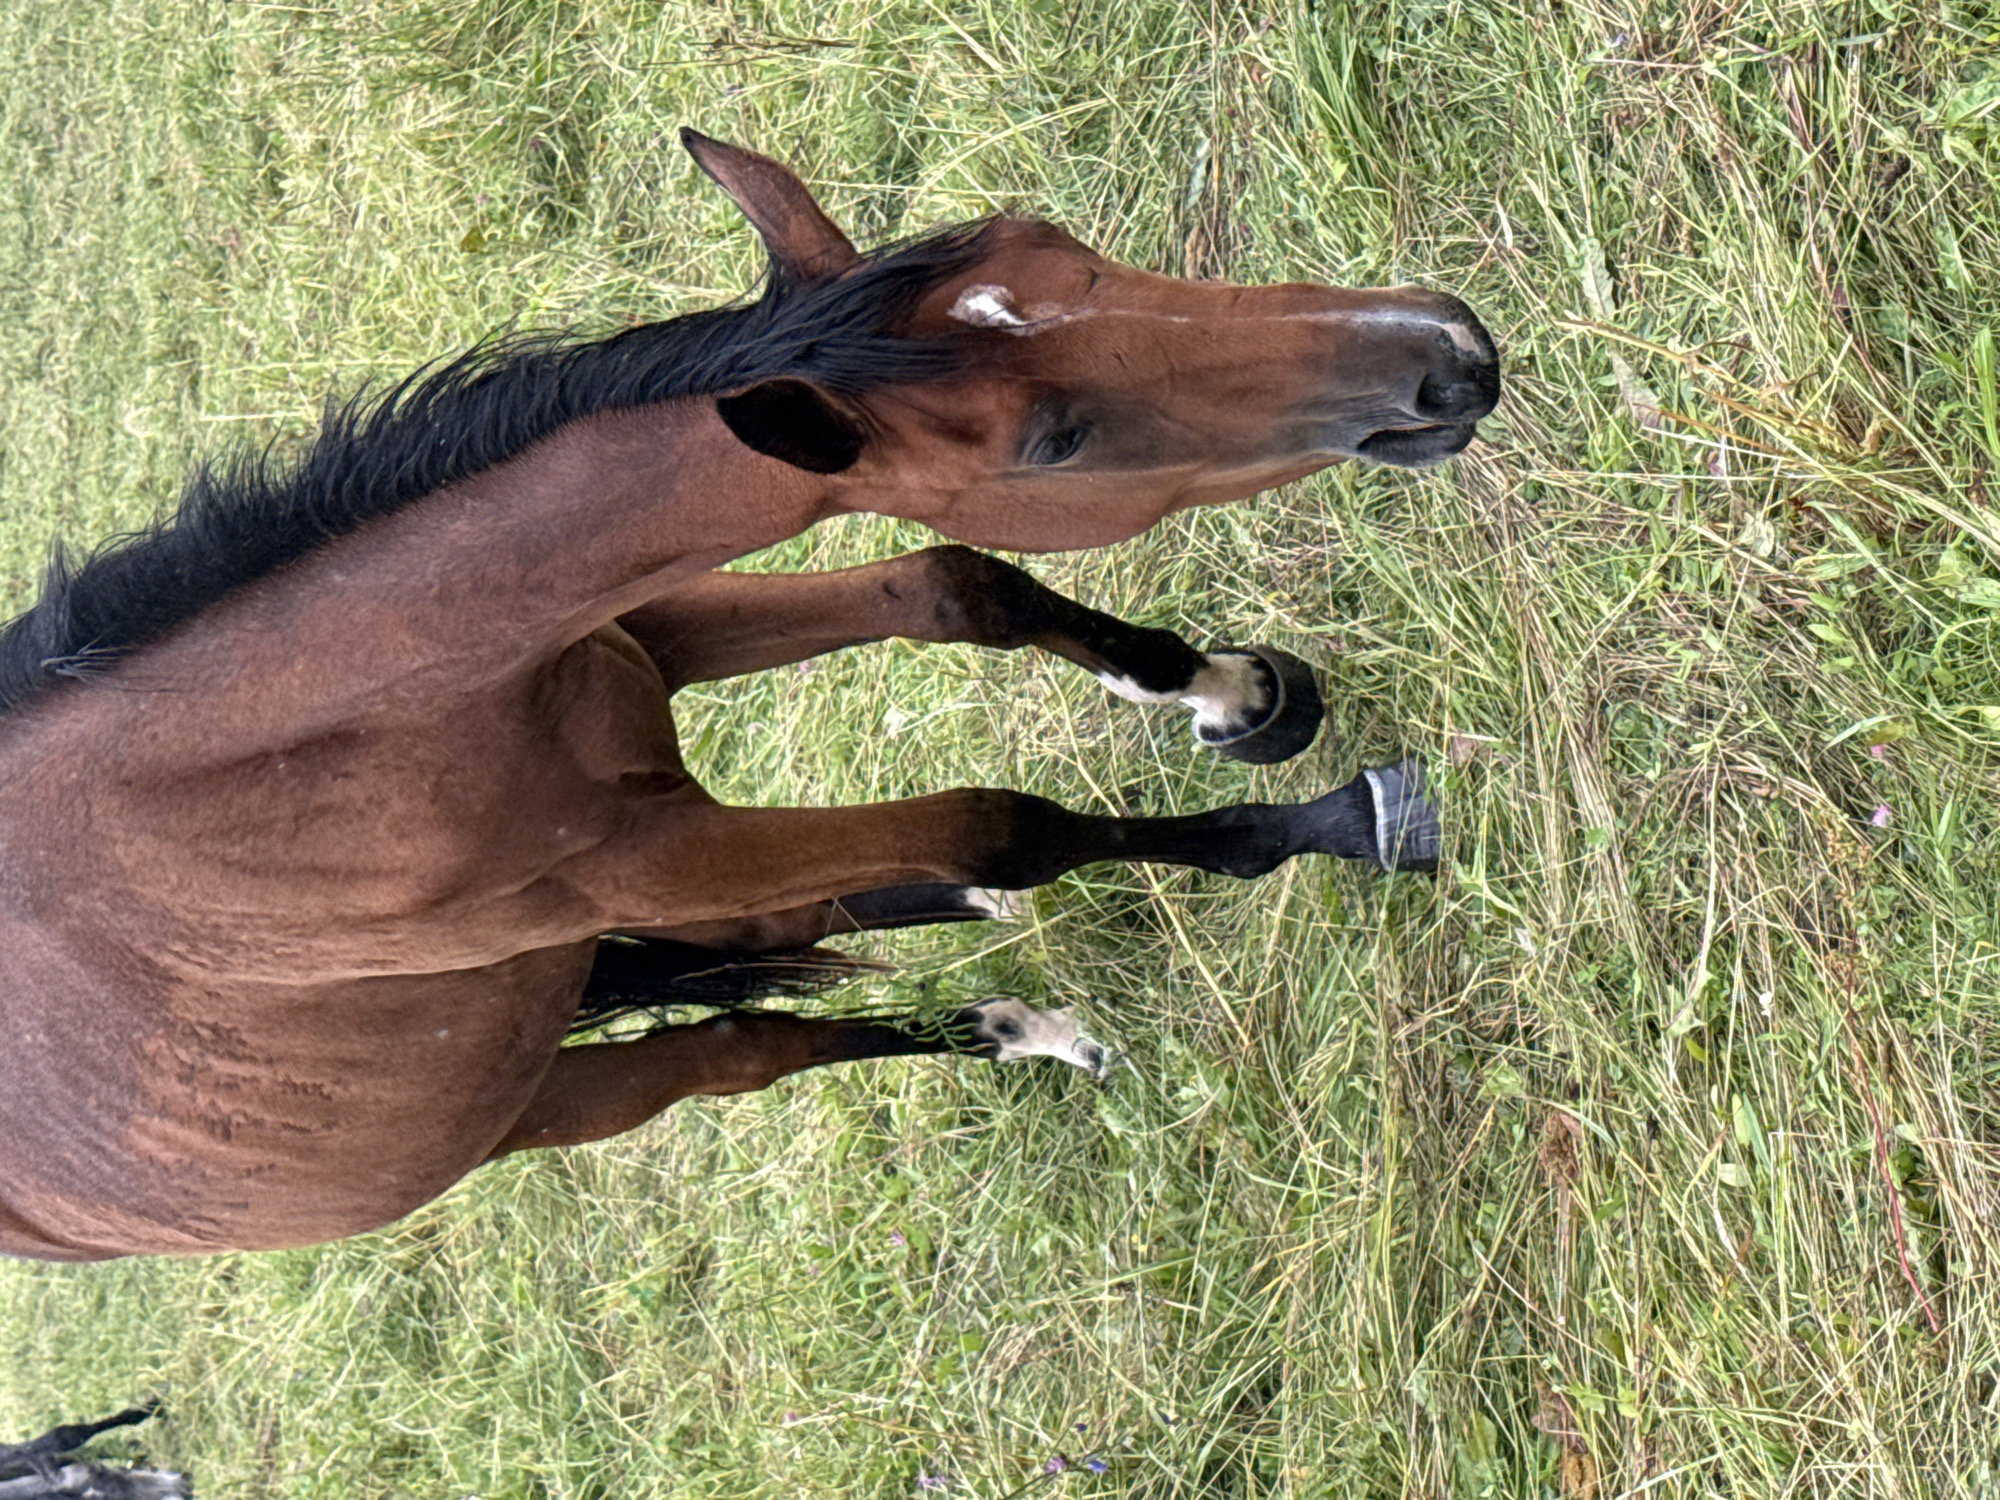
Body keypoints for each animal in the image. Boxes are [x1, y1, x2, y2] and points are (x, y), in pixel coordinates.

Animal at [0, 132, 1499, 1261]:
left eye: (1065, 245)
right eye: (1056, 442)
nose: (1445, 353)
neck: (286, 746)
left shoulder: (643, 635)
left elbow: (960, 589)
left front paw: (1232, 698)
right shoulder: (627, 866)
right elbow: (1002, 820)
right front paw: (1342, 821)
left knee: (785, 940)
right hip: (535, 1091)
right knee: (745, 1047)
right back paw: (1011, 1012)